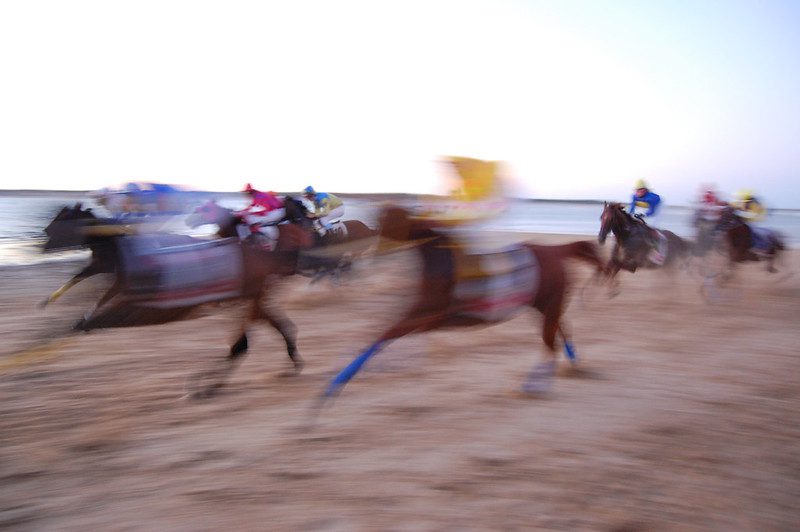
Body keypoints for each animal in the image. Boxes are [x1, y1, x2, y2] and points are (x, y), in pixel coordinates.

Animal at [40, 204, 310, 394]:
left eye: (62, 217)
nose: (43, 233)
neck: (113, 241)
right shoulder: (106, 271)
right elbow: (82, 284)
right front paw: (56, 307)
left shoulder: (121, 283)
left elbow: (100, 300)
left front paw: (81, 321)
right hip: (252, 299)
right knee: (276, 330)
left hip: (249, 299)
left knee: (243, 344)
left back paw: (207, 385)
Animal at [322, 206, 604, 402]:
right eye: (378, 221)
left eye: (389, 222)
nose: (370, 252)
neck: (443, 265)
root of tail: (555, 250)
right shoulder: (422, 317)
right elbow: (383, 337)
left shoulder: (429, 317)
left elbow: (383, 336)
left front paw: (333, 388)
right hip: (545, 306)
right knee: (561, 332)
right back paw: (571, 364)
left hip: (549, 305)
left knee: (551, 344)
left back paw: (533, 384)